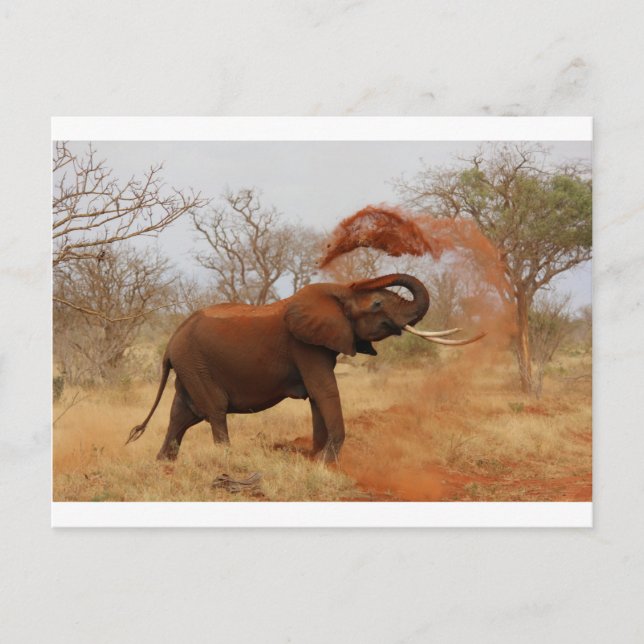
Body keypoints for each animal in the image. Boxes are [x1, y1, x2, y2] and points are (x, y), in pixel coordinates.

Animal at [127, 273, 483, 462]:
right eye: (378, 304)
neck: (338, 293)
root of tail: (171, 341)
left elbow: (317, 396)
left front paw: (316, 457)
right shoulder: (305, 345)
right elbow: (324, 390)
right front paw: (326, 461)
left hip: (190, 365)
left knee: (182, 414)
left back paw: (164, 464)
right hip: (195, 363)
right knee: (213, 410)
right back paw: (225, 458)